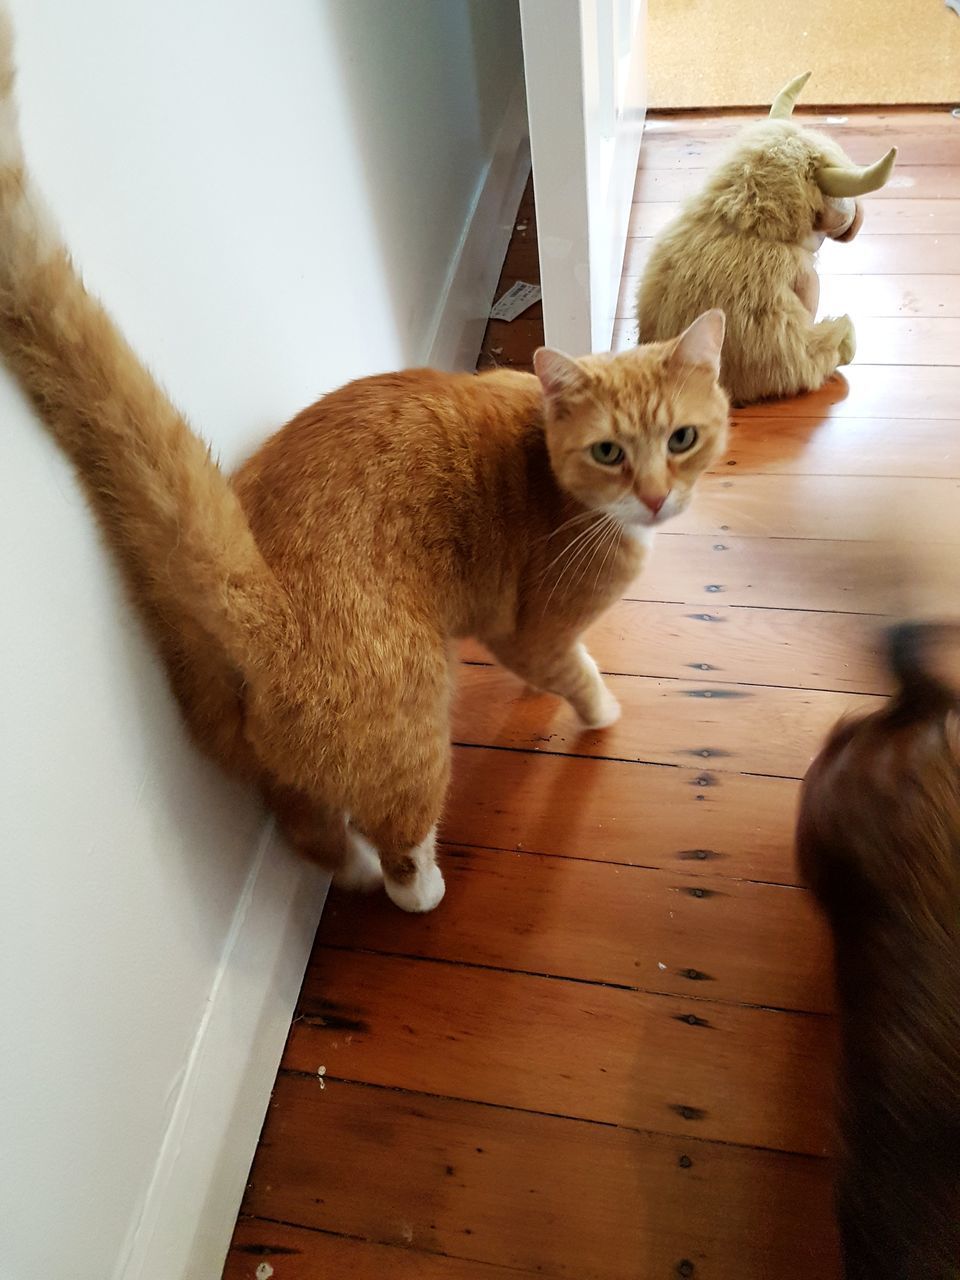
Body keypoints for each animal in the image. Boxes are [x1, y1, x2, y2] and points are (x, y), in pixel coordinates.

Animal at [0, 12, 727, 911]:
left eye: (682, 440)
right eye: (609, 453)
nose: (658, 498)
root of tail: (261, 597)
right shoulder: (529, 632)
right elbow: (575, 672)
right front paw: (600, 712)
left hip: (255, 748)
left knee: (302, 822)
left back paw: (345, 867)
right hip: (413, 722)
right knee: (400, 843)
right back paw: (419, 885)